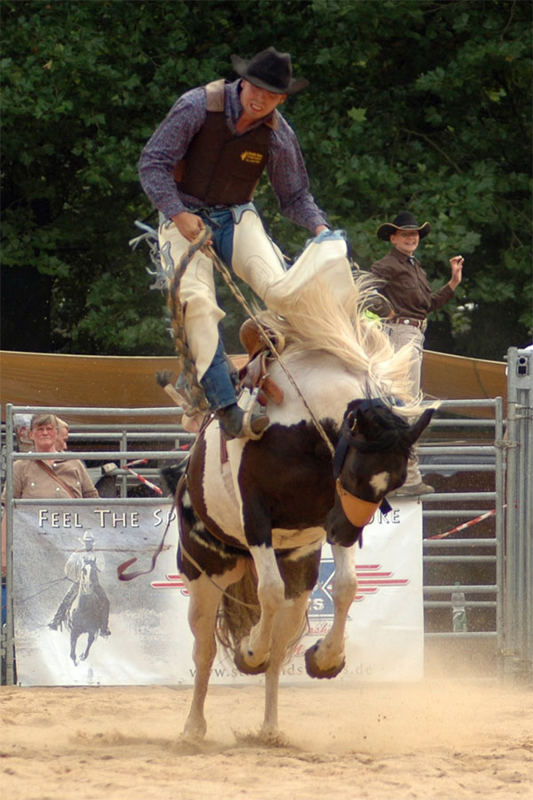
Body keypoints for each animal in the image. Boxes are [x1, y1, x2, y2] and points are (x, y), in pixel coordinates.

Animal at [174, 234, 432, 740]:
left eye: (395, 480)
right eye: (356, 471)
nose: (349, 529)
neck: (301, 429)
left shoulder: (330, 522)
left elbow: (347, 586)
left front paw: (326, 659)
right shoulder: (257, 518)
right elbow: (268, 596)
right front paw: (248, 653)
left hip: (297, 573)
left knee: (280, 648)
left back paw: (271, 728)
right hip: (203, 573)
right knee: (204, 649)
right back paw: (193, 727)